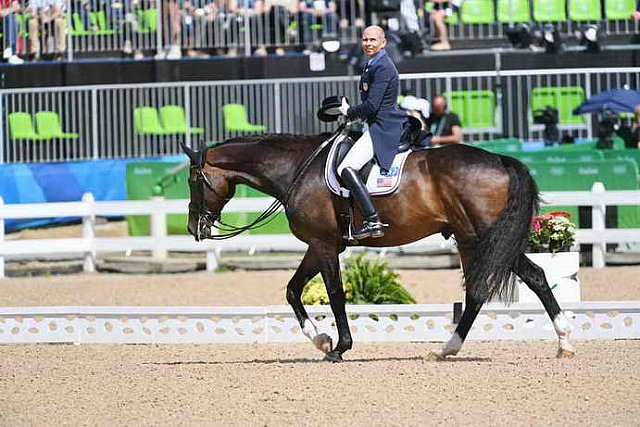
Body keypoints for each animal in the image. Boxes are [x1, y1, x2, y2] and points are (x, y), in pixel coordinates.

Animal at [179, 132, 576, 362]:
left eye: (193, 180)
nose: (193, 229)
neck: (296, 169)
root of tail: (500, 160)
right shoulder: (320, 245)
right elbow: (293, 291)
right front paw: (321, 340)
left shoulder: (324, 245)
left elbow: (335, 294)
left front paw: (338, 348)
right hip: (471, 240)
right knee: (498, 286)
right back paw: (453, 348)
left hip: (484, 237)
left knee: (524, 278)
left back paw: (562, 342)